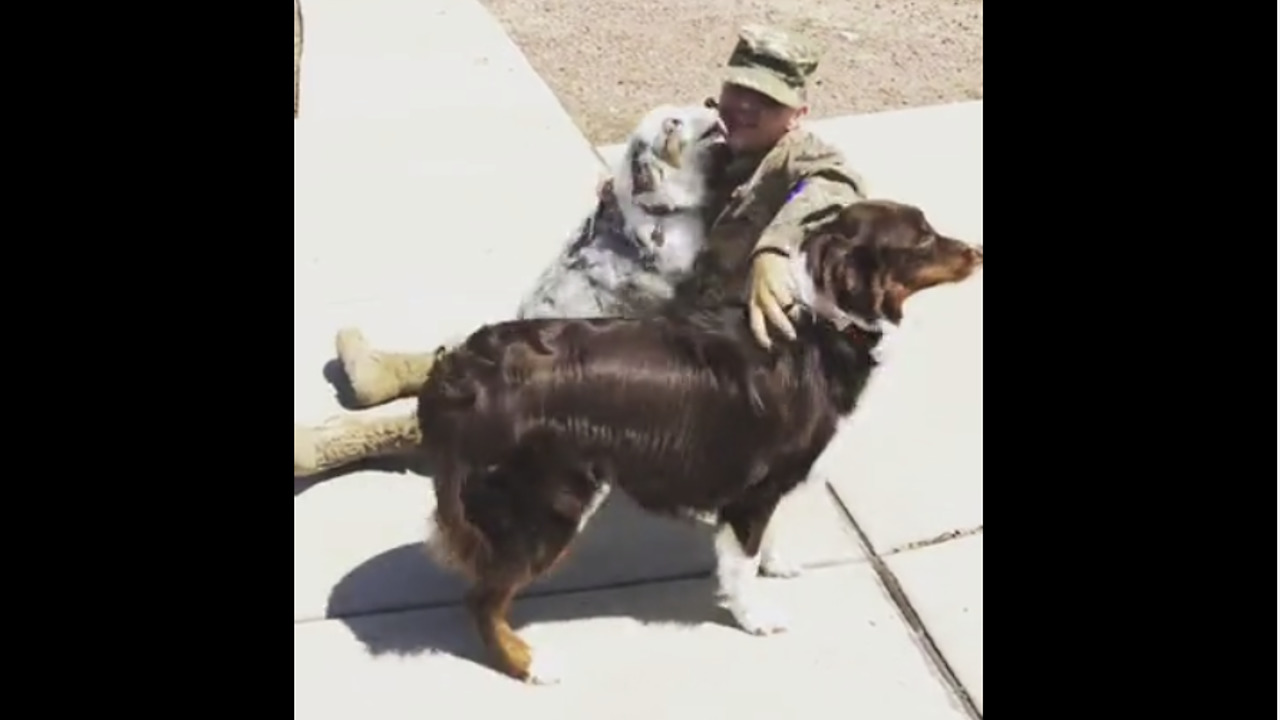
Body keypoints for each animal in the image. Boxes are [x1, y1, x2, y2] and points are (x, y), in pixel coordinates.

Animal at [414, 198, 983, 681]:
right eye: (922, 238)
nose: (977, 251)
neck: (821, 325)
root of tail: (458, 369)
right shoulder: (753, 489)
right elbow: (741, 562)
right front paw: (755, 616)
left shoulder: (768, 486)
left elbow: (764, 540)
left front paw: (777, 563)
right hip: (551, 500)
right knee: (484, 598)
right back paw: (528, 663)